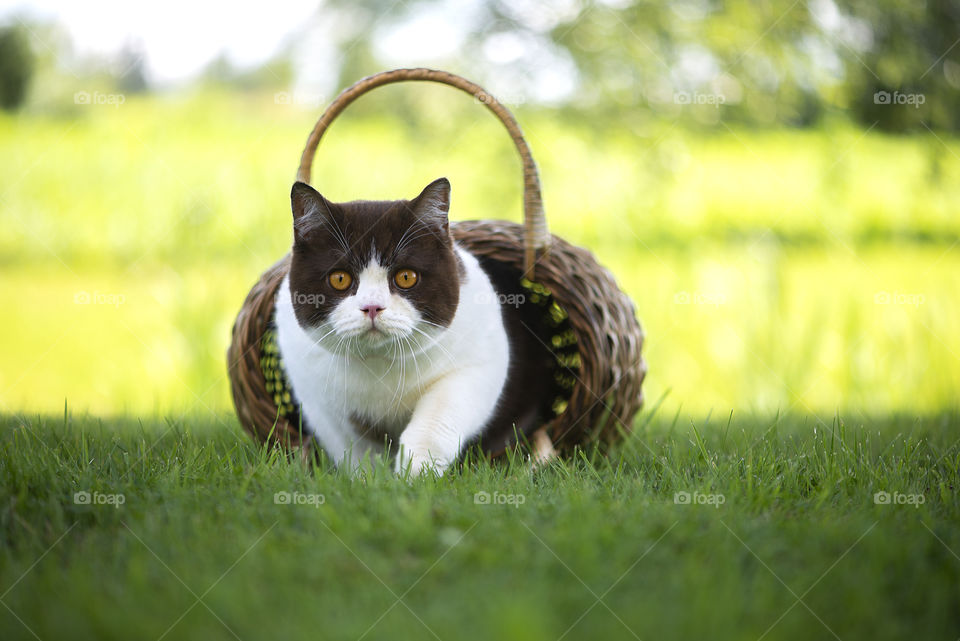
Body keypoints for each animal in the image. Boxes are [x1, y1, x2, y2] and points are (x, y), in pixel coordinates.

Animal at [274, 176, 552, 476]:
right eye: (339, 279)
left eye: (406, 277)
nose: (372, 306)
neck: (379, 361)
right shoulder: (313, 392)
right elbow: (353, 448)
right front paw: (370, 479)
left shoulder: (479, 358)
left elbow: (439, 415)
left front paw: (417, 473)